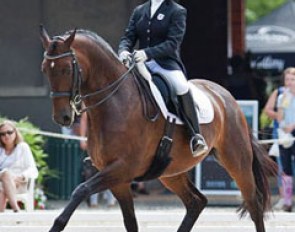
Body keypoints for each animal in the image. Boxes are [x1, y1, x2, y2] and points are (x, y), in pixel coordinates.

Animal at [39, 25, 278, 232]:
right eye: (44, 70)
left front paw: (56, 224)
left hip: (236, 160)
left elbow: (81, 190)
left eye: (66, 69)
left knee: (254, 203)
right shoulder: (118, 179)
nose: (63, 117)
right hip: (171, 172)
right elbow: (130, 222)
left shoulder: (122, 169)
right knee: (196, 202)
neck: (115, 103)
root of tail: (225, 95)